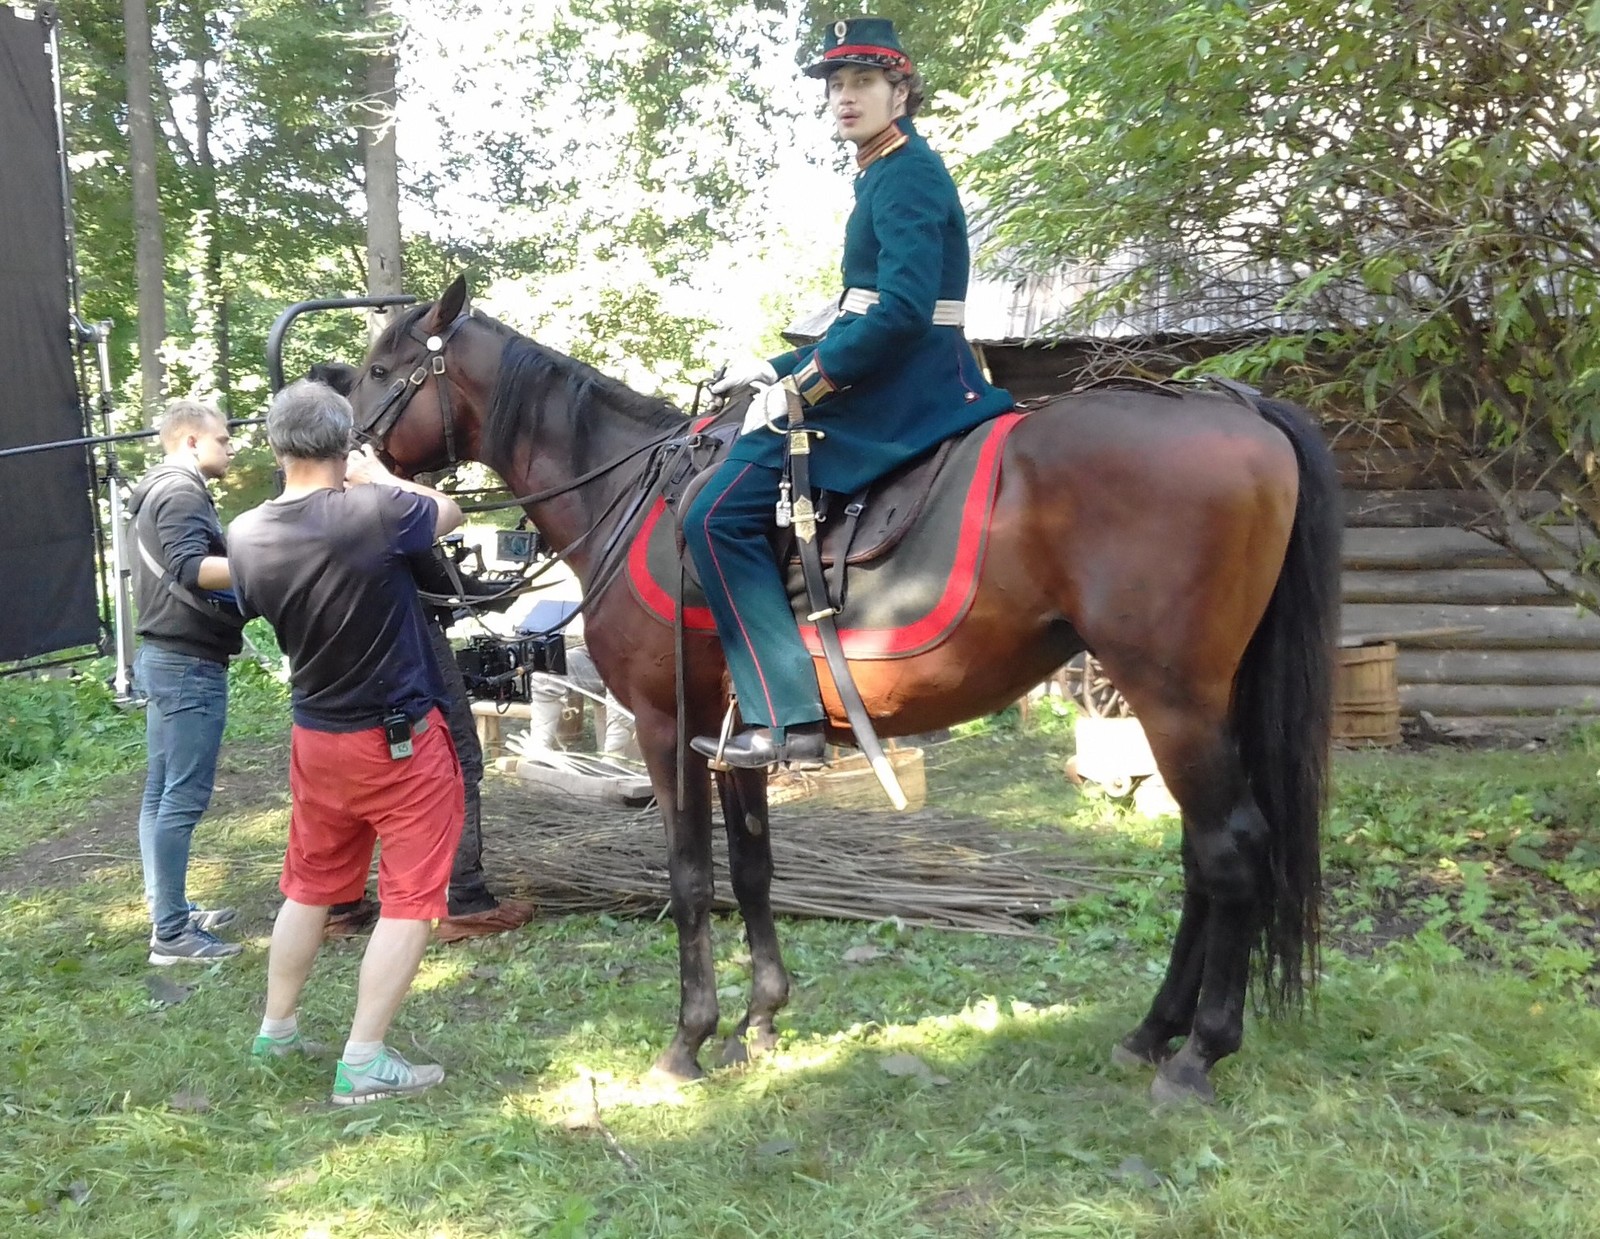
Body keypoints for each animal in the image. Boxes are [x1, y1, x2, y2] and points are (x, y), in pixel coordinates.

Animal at [344, 278, 1344, 1107]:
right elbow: (752, 867)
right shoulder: (736, 733)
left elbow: (690, 874)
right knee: (1200, 857)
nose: (345, 448)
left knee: (1228, 849)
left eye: (382, 368)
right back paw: (1152, 1031)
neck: (634, 495)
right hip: (1196, 702)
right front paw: (760, 1022)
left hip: (1173, 697)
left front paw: (688, 1040)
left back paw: (1198, 1052)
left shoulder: (668, 726)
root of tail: (1233, 408)